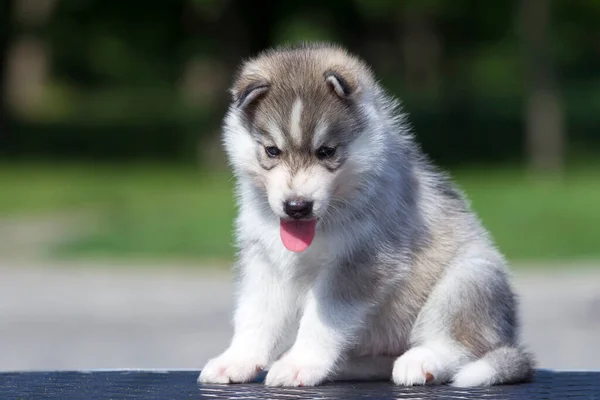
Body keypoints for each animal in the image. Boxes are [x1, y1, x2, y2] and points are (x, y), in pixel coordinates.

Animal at [198, 42, 536, 386]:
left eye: (327, 151)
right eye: (271, 151)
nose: (297, 206)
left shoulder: (359, 262)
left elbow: (321, 321)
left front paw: (300, 364)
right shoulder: (264, 260)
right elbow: (255, 315)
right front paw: (237, 360)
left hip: (468, 279)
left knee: (460, 345)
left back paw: (422, 361)